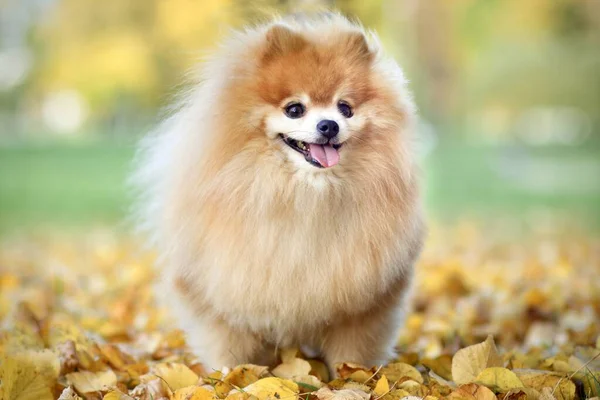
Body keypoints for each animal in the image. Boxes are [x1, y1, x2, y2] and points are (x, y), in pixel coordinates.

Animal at [134, 13, 424, 376]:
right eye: (295, 109)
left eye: (345, 108)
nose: (329, 125)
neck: (306, 195)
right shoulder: (222, 289)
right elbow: (229, 345)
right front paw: (231, 377)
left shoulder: (365, 301)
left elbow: (352, 349)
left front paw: (352, 378)